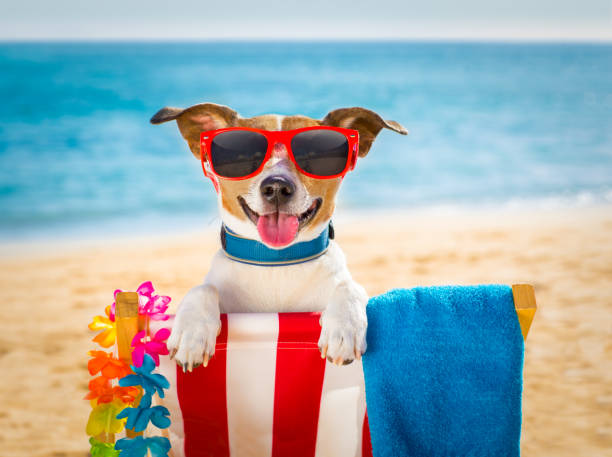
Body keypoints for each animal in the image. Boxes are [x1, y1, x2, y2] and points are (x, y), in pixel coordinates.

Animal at [150, 101, 406, 368]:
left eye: (313, 155)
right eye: (244, 155)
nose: (276, 187)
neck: (276, 262)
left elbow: (350, 287)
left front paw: (344, 329)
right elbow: (203, 288)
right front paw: (191, 333)